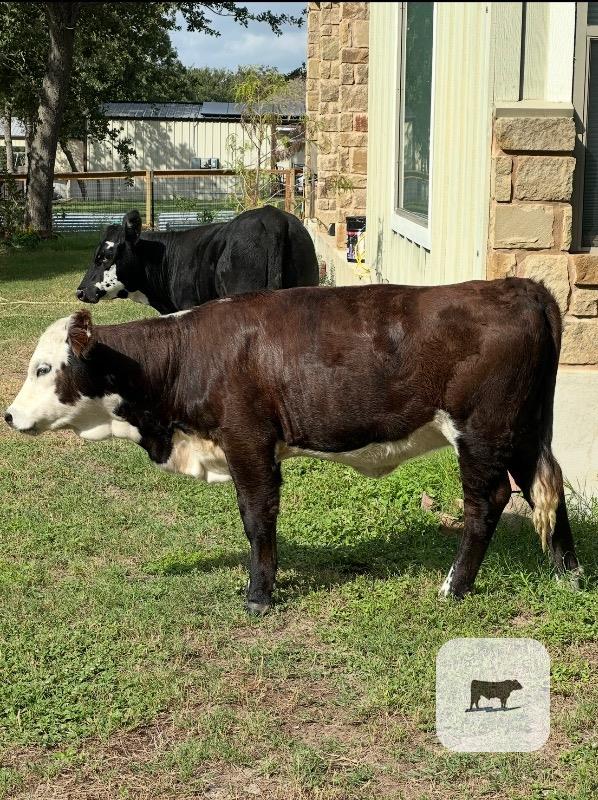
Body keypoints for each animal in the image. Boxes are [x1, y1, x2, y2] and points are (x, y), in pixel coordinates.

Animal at [5, 279, 583, 614]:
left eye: (43, 368)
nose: (9, 415)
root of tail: (518, 286)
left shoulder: (249, 442)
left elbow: (258, 518)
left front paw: (259, 596)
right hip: (523, 428)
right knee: (549, 491)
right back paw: (569, 576)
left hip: (482, 431)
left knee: (487, 502)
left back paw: (454, 587)